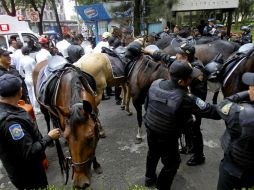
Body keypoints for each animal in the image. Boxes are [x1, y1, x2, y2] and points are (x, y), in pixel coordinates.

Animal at [32, 58, 101, 189]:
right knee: (48, 120)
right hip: (44, 108)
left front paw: (96, 164)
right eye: (68, 138)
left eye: (90, 138)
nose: (80, 183)